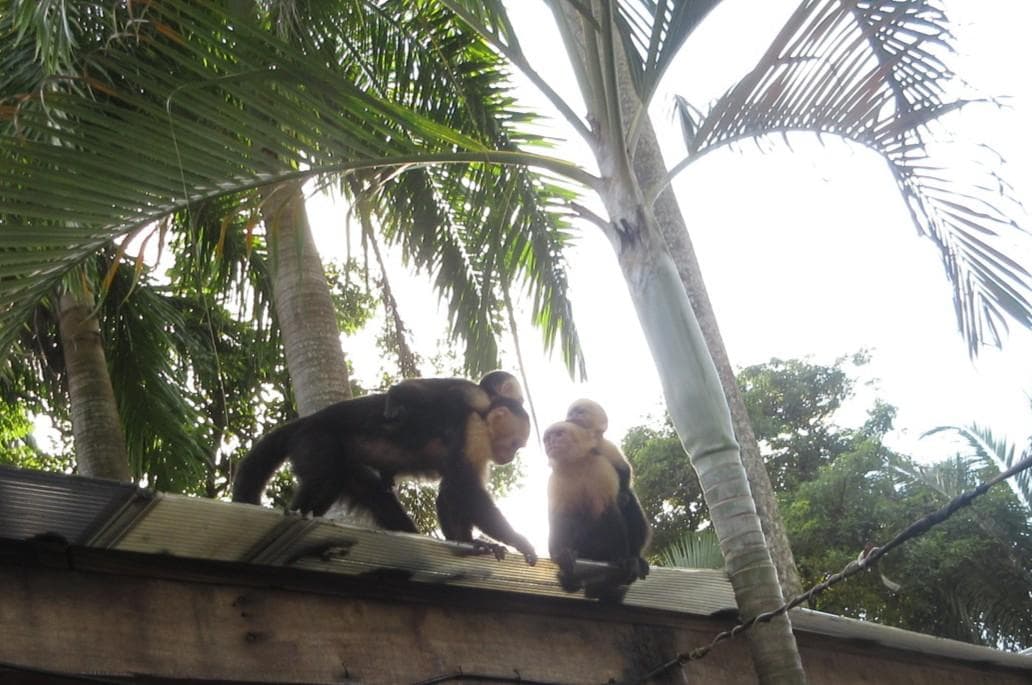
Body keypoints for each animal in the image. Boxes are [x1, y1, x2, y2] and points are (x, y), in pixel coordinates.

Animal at [231, 372, 537, 563]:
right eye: (515, 444)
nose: (509, 457)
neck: (484, 416)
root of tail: (307, 420)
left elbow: (451, 493)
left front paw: (470, 543)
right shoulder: (474, 427)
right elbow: (465, 489)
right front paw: (517, 540)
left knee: (363, 492)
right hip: (314, 439)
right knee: (323, 477)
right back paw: (296, 513)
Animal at [544, 420, 651, 598]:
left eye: (558, 434)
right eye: (547, 439)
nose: (550, 443)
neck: (577, 464)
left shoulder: (602, 468)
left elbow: (610, 509)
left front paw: (623, 558)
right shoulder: (555, 480)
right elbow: (559, 517)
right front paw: (560, 555)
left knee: (627, 500)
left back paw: (634, 558)